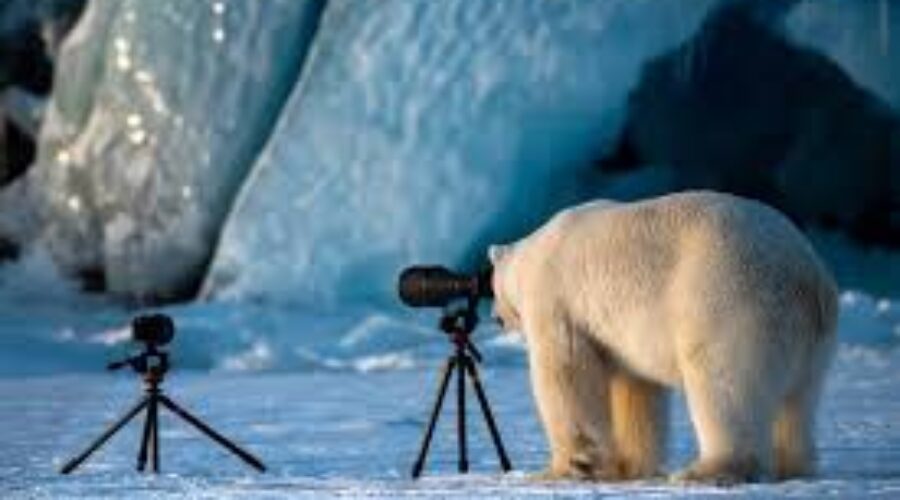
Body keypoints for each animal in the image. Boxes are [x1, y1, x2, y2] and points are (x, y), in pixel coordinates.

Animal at [489, 191, 838, 484]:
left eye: (491, 287)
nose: (495, 317)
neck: (534, 253)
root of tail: (808, 277)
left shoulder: (555, 299)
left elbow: (565, 373)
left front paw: (564, 468)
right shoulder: (621, 337)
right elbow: (636, 388)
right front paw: (628, 467)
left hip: (728, 298)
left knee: (723, 385)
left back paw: (704, 471)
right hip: (810, 343)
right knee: (798, 403)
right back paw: (792, 467)